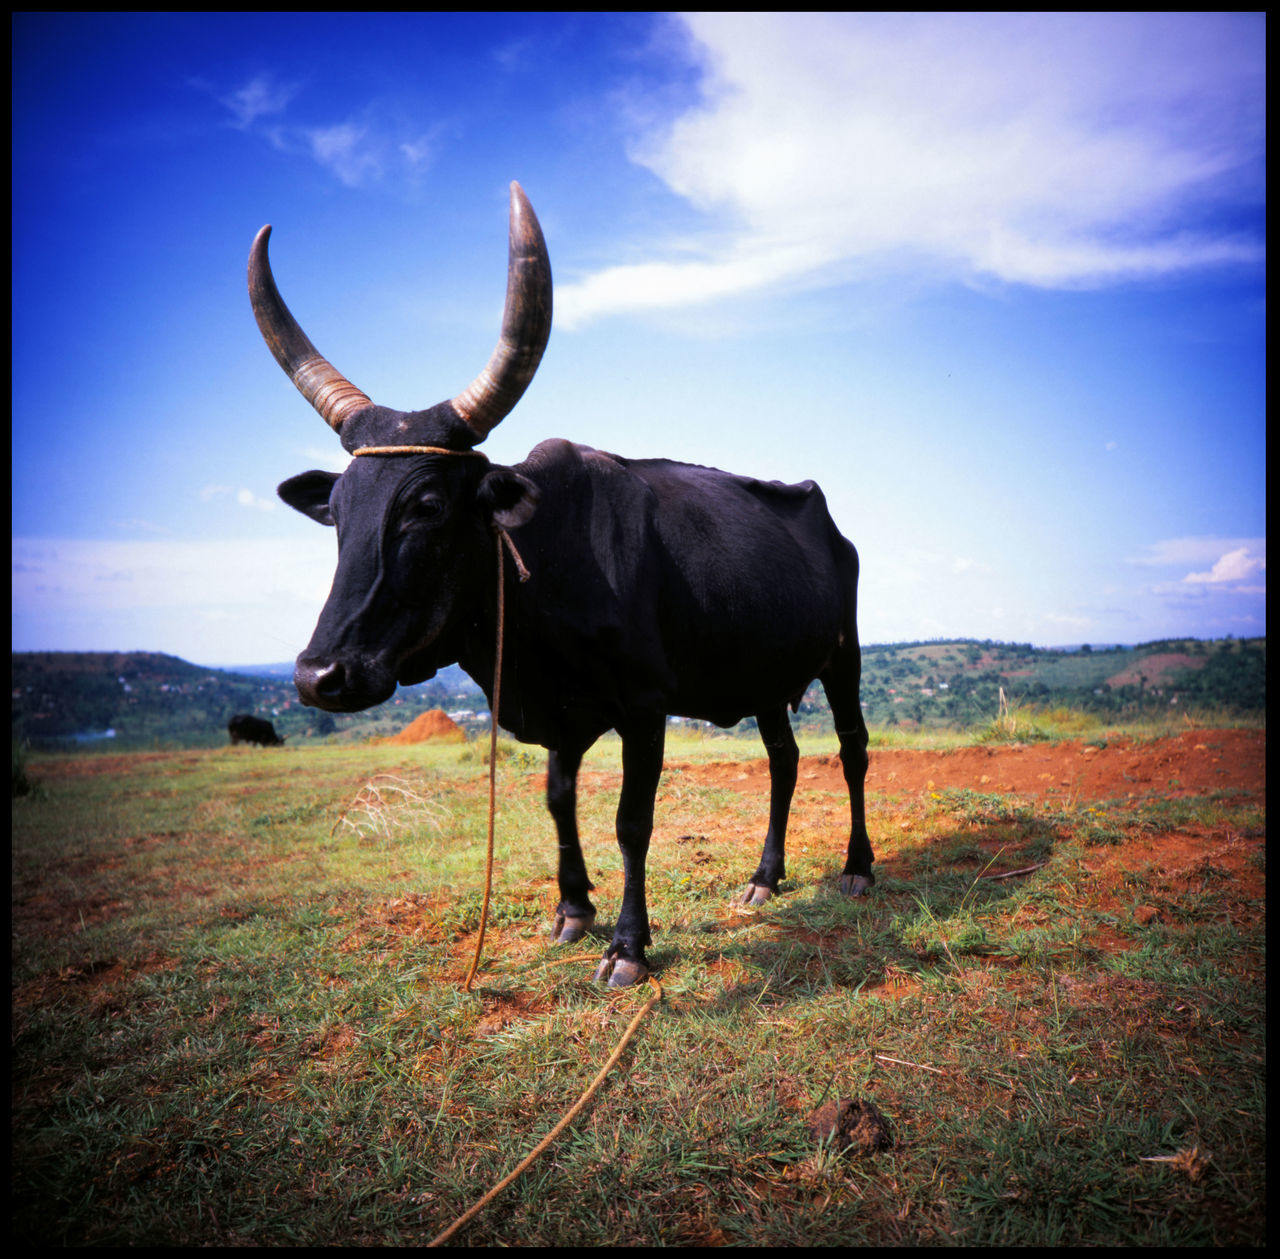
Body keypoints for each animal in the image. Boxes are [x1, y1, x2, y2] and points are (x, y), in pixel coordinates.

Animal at [245, 181, 875, 987]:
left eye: (428, 505)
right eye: (339, 513)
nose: (320, 675)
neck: (545, 566)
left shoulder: (644, 706)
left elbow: (631, 821)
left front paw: (628, 946)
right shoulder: (556, 711)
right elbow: (557, 800)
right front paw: (573, 908)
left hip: (843, 656)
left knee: (852, 749)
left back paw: (858, 866)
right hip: (765, 674)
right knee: (785, 759)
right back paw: (765, 876)